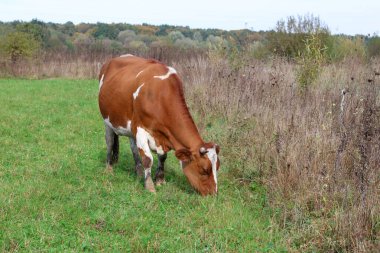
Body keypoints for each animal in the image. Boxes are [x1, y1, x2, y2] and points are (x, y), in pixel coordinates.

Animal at [98, 54, 220, 196]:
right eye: (204, 170)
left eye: (217, 167)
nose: (213, 194)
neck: (160, 96)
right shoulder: (140, 129)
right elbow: (148, 159)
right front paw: (150, 186)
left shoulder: (161, 136)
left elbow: (162, 157)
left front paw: (160, 179)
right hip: (107, 120)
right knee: (110, 142)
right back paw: (109, 167)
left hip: (129, 127)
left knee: (133, 147)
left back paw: (139, 172)